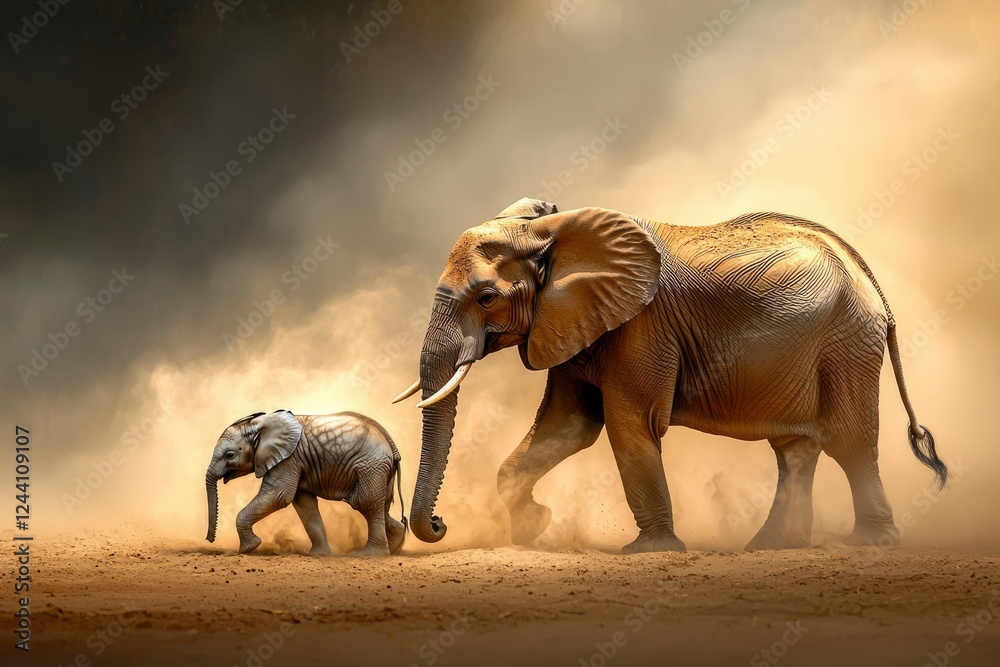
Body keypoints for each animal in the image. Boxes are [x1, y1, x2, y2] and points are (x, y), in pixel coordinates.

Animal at [204, 410, 407, 556]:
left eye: (230, 455)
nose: (209, 539)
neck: (261, 424)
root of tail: (392, 445)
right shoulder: (298, 462)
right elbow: (304, 504)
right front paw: (319, 555)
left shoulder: (289, 459)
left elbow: (278, 496)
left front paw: (249, 548)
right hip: (379, 470)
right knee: (381, 506)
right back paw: (395, 547)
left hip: (371, 465)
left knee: (365, 503)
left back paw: (371, 555)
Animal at [394, 197, 948, 553]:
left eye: (486, 297)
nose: (439, 521)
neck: (554, 230)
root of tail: (871, 280)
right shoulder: (576, 322)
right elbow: (567, 427)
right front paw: (535, 527)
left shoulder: (641, 325)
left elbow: (628, 424)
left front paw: (650, 551)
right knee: (795, 448)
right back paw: (773, 547)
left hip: (846, 342)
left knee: (849, 441)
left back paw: (870, 543)